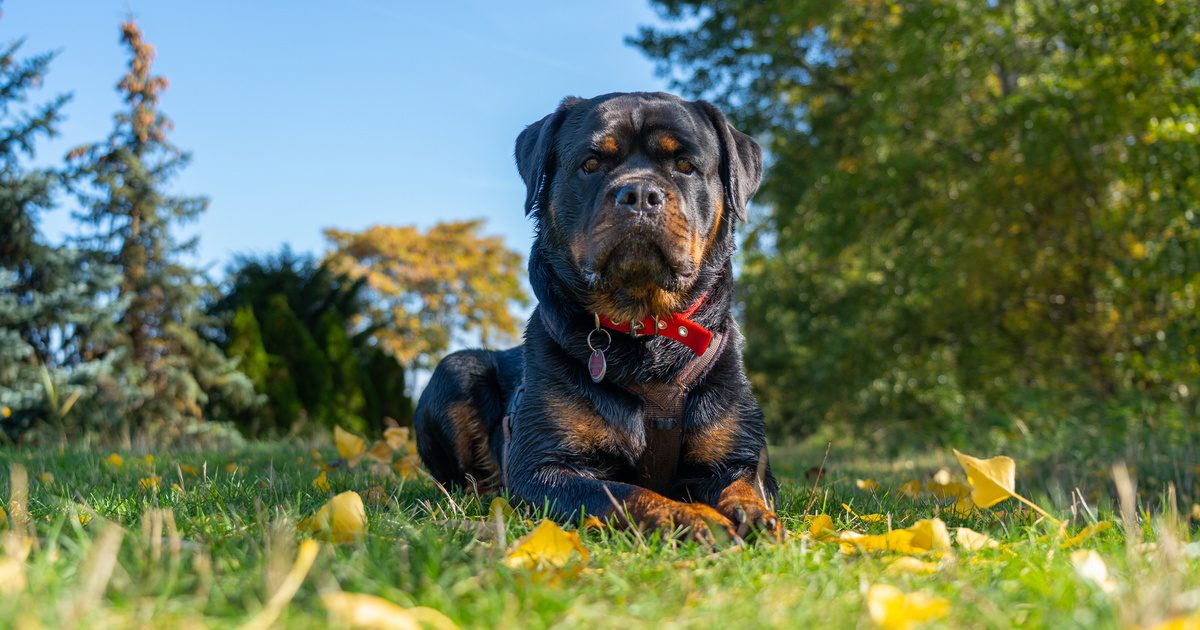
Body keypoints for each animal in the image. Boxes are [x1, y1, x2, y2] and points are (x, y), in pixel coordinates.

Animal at [417, 90, 782, 542]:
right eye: (591, 164)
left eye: (685, 165)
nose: (639, 193)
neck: (644, 330)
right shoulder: (542, 466)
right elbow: (626, 493)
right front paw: (694, 517)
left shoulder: (740, 454)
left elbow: (744, 485)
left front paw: (755, 516)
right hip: (455, 369)